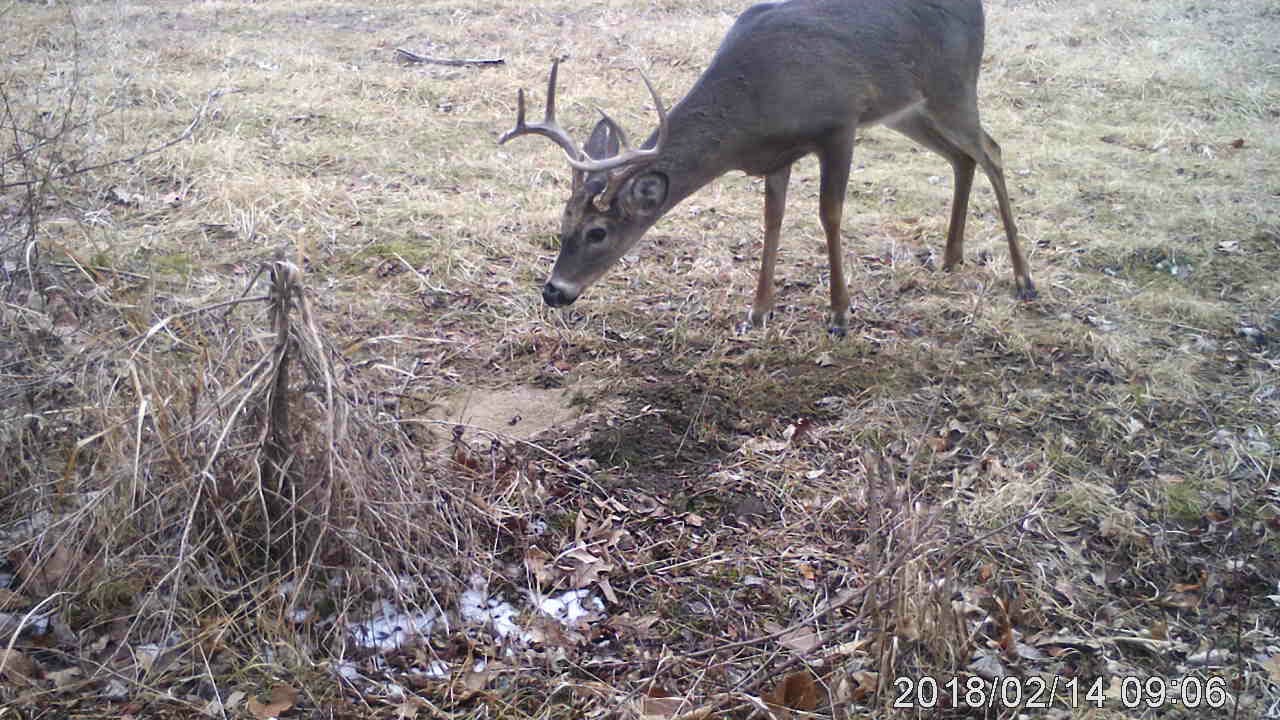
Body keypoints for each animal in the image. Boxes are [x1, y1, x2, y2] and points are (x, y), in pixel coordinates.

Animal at [499, 0, 1035, 336]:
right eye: (563, 224)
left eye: (597, 233)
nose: (553, 292)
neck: (754, 106)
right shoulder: (777, 156)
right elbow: (772, 221)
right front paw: (757, 314)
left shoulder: (838, 125)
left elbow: (829, 215)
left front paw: (840, 316)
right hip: (909, 109)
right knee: (962, 157)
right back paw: (951, 257)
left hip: (953, 85)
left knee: (992, 151)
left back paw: (1024, 280)